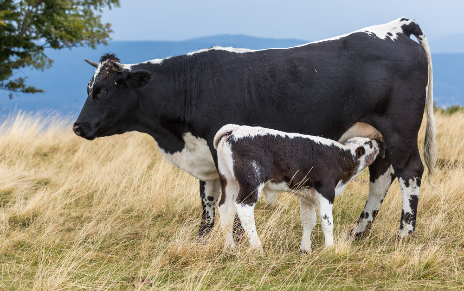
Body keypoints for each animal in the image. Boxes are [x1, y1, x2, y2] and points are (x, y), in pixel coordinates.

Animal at [213, 124, 384, 254]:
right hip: (251, 182)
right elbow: (327, 222)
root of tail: (235, 129)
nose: (379, 142)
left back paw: (230, 248)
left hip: (229, 180)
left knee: (225, 209)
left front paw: (305, 250)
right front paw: (330, 249)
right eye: (369, 144)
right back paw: (257, 248)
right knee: (244, 209)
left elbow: (308, 221)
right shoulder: (326, 191)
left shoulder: (307, 196)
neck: (341, 157)